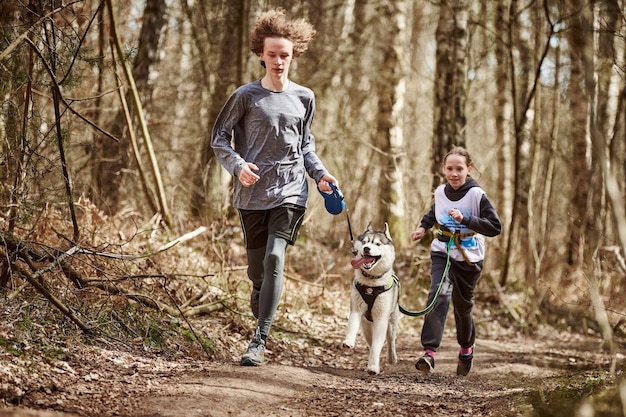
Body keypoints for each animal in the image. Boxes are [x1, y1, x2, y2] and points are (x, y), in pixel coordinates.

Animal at [342, 223, 400, 376]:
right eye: (364, 242)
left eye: (378, 244)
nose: (366, 248)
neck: (371, 283)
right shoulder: (356, 309)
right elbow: (352, 325)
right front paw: (349, 341)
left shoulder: (381, 319)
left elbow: (377, 346)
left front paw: (373, 367)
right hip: (366, 327)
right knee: (370, 340)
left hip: (391, 323)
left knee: (390, 341)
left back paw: (391, 358)